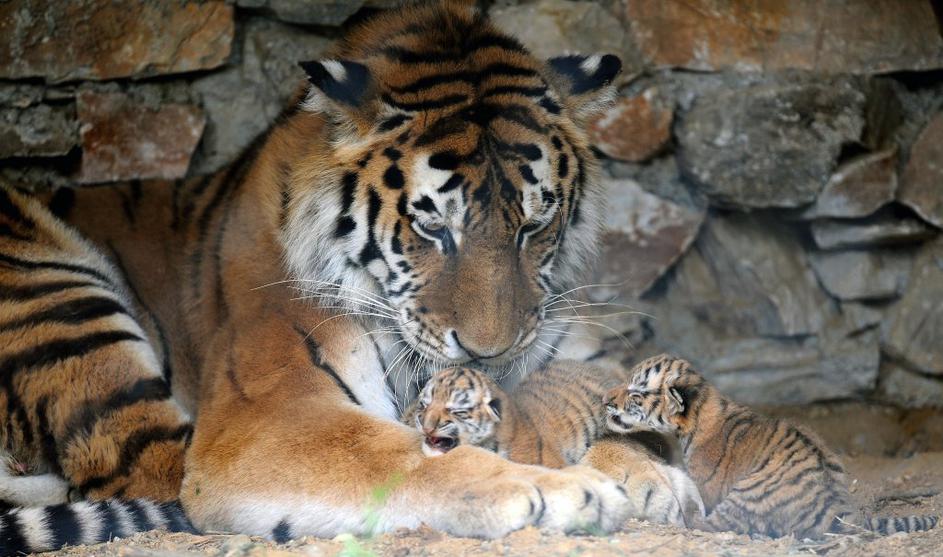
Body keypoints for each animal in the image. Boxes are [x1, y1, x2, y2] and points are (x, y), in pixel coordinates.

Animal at [605, 354, 941, 539]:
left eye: (636, 393)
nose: (606, 401)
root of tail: (836, 506)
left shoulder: (708, 489)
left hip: (742, 497)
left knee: (707, 522)